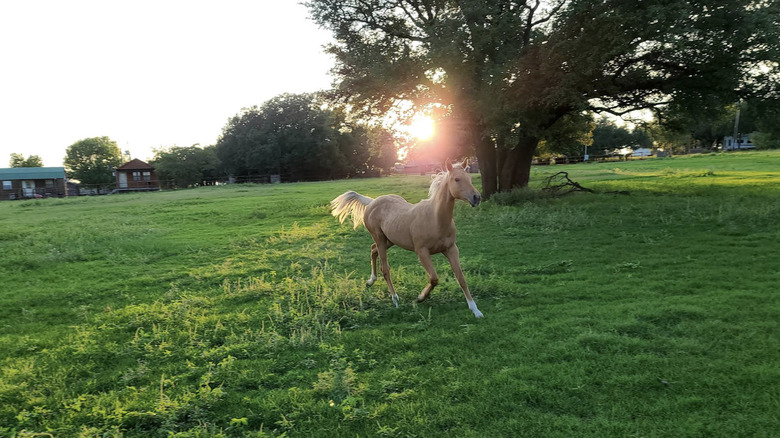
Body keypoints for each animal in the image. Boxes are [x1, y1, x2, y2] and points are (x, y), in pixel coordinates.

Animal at [330, 161, 484, 318]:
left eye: (469, 178)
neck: (434, 219)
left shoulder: (451, 249)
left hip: (389, 240)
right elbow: (434, 278)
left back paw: (370, 281)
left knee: (373, 250)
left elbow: (461, 279)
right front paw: (420, 298)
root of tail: (372, 202)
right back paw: (395, 299)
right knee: (385, 268)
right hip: (379, 238)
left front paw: (476, 310)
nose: (476, 198)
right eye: (457, 179)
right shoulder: (422, 252)